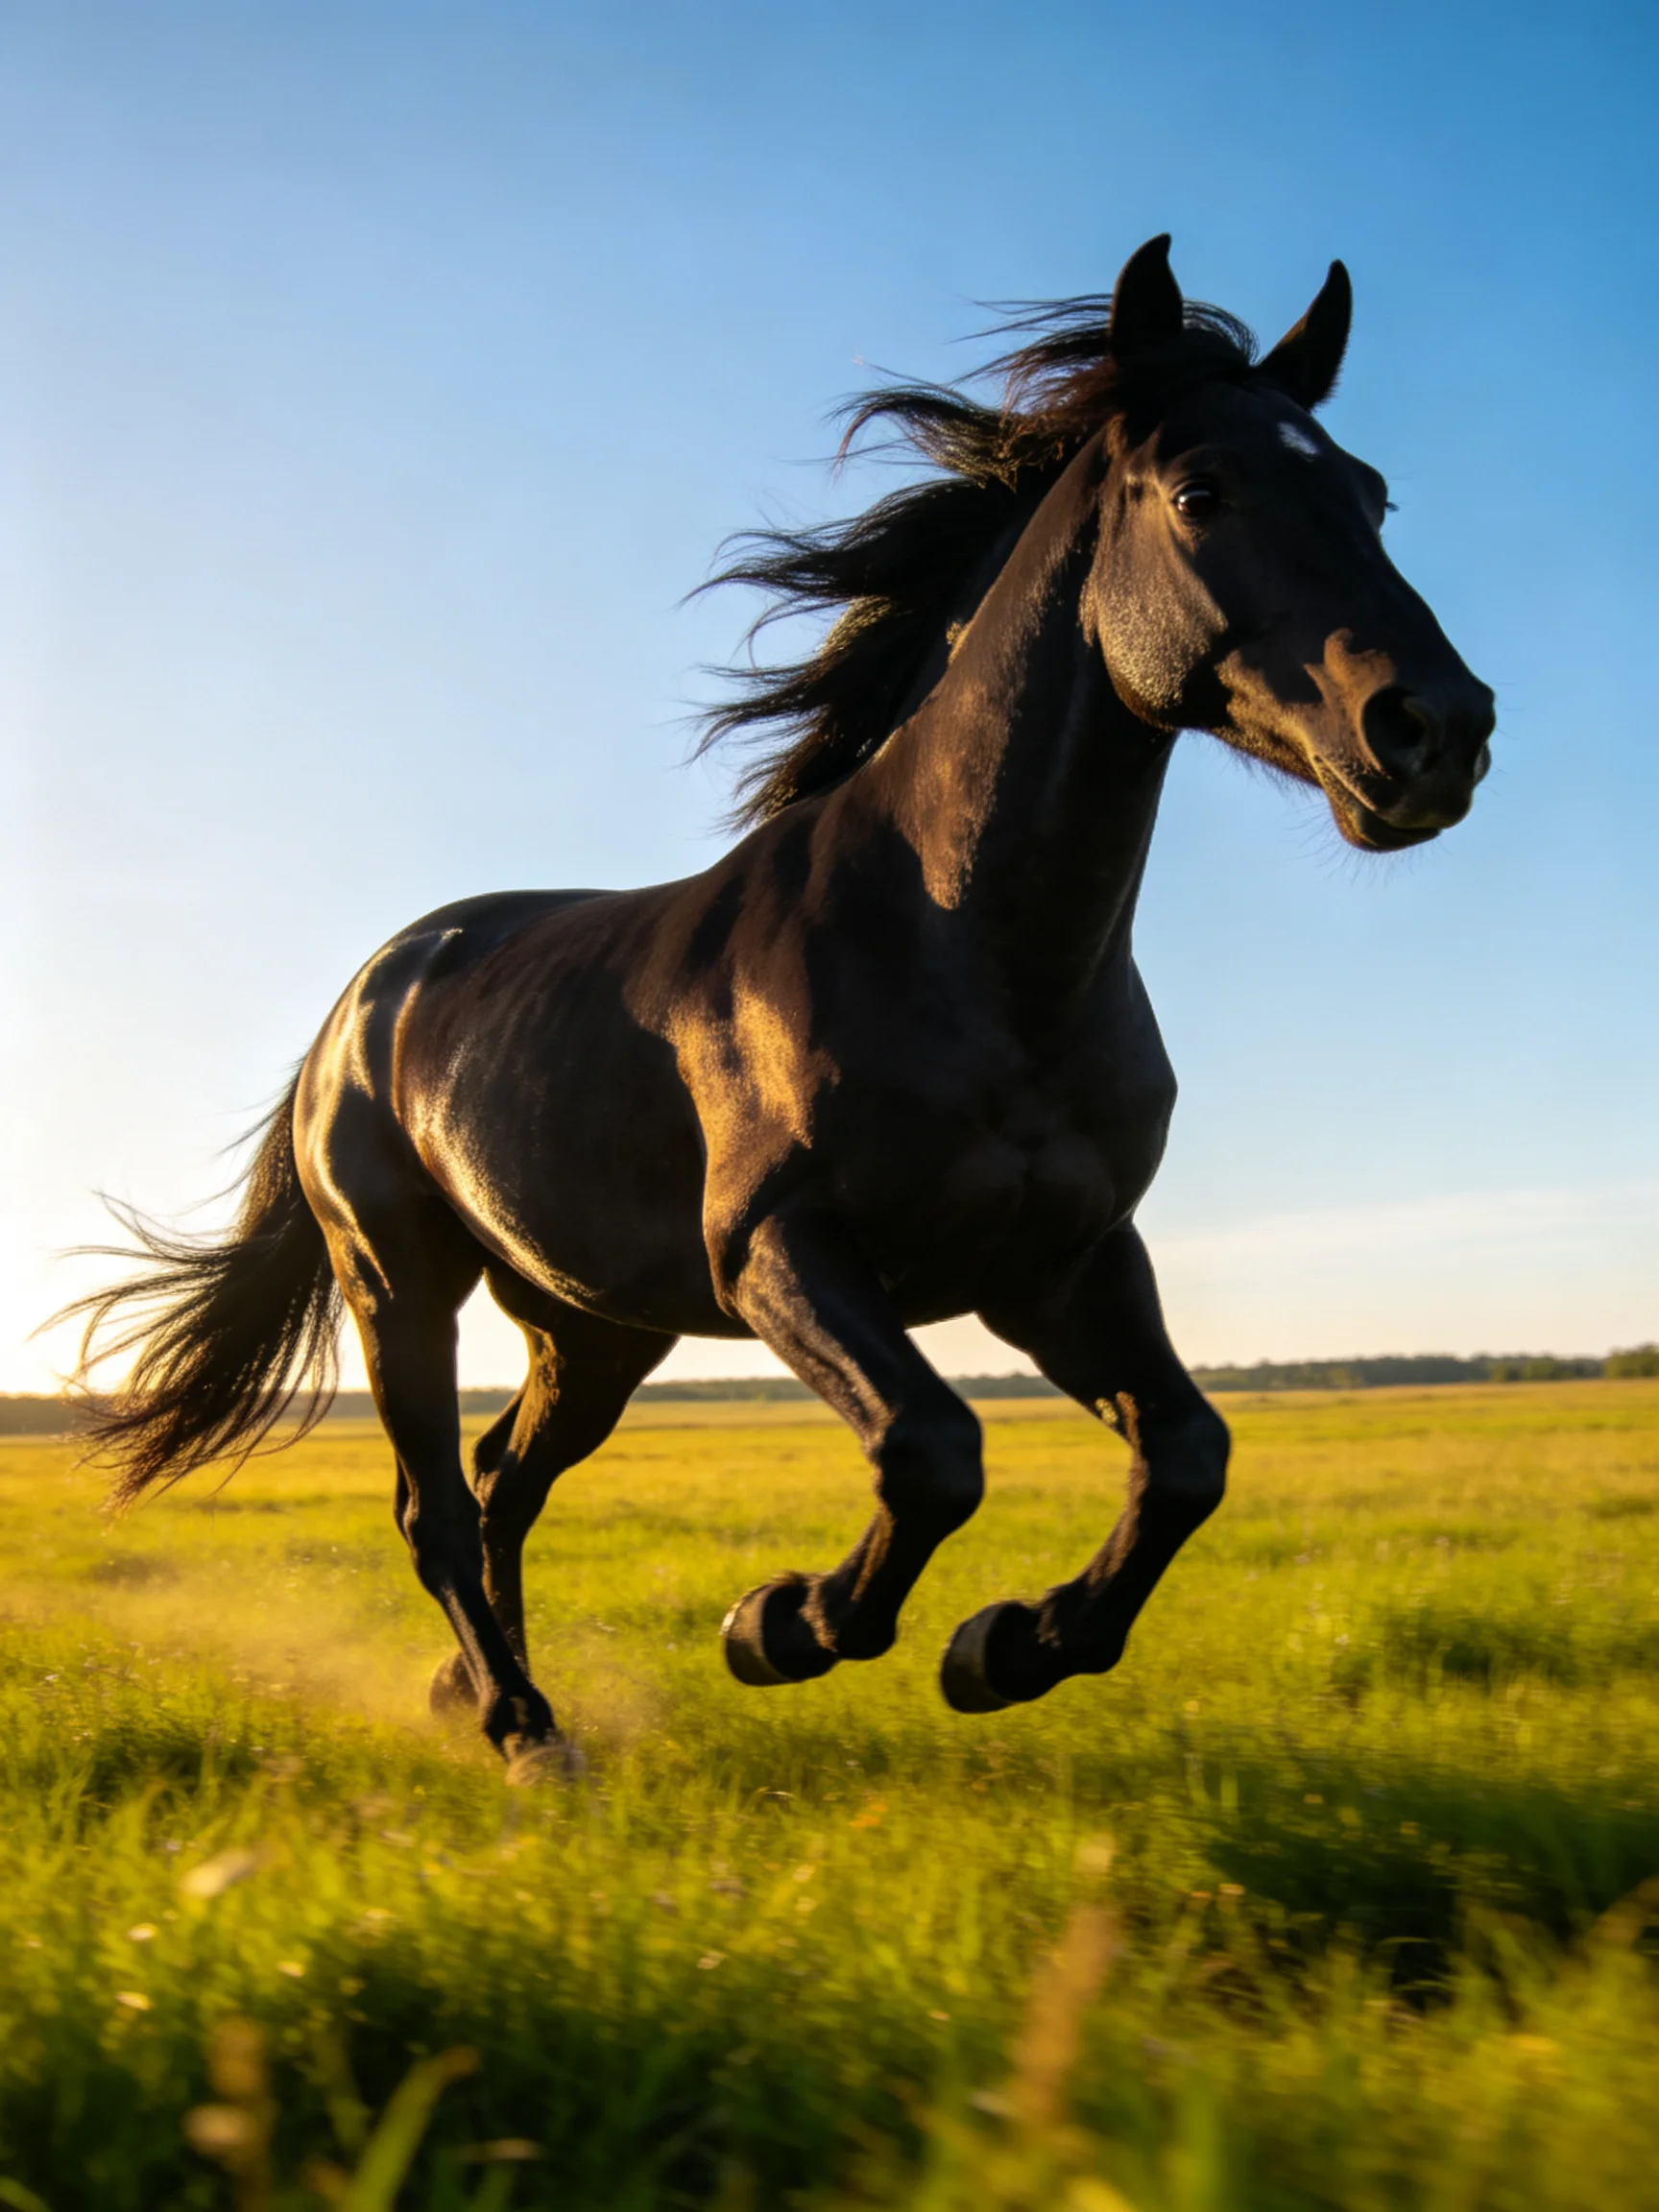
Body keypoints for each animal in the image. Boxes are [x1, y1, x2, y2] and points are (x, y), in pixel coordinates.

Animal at [65, 238, 1495, 1782]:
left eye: (1372, 494)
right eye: (1201, 491)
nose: (1438, 730)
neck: (964, 948)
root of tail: (361, 1003)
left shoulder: (1060, 1261)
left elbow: (1185, 1456)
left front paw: (1007, 1647)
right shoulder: (781, 1248)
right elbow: (931, 1449)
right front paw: (782, 1624)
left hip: (595, 1327)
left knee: (508, 1479)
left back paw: (482, 1693)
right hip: (400, 1282)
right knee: (436, 1504)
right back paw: (522, 1729)